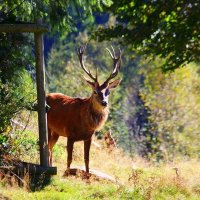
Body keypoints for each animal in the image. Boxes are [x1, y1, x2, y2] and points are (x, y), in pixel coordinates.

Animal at [47, 45, 122, 177]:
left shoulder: (89, 137)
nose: (104, 103)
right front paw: (66, 174)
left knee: (50, 146)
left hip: (56, 132)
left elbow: (87, 159)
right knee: (47, 146)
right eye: (95, 91)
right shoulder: (70, 135)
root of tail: (47, 95)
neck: (84, 124)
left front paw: (87, 177)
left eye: (108, 92)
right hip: (47, 125)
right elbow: (69, 158)